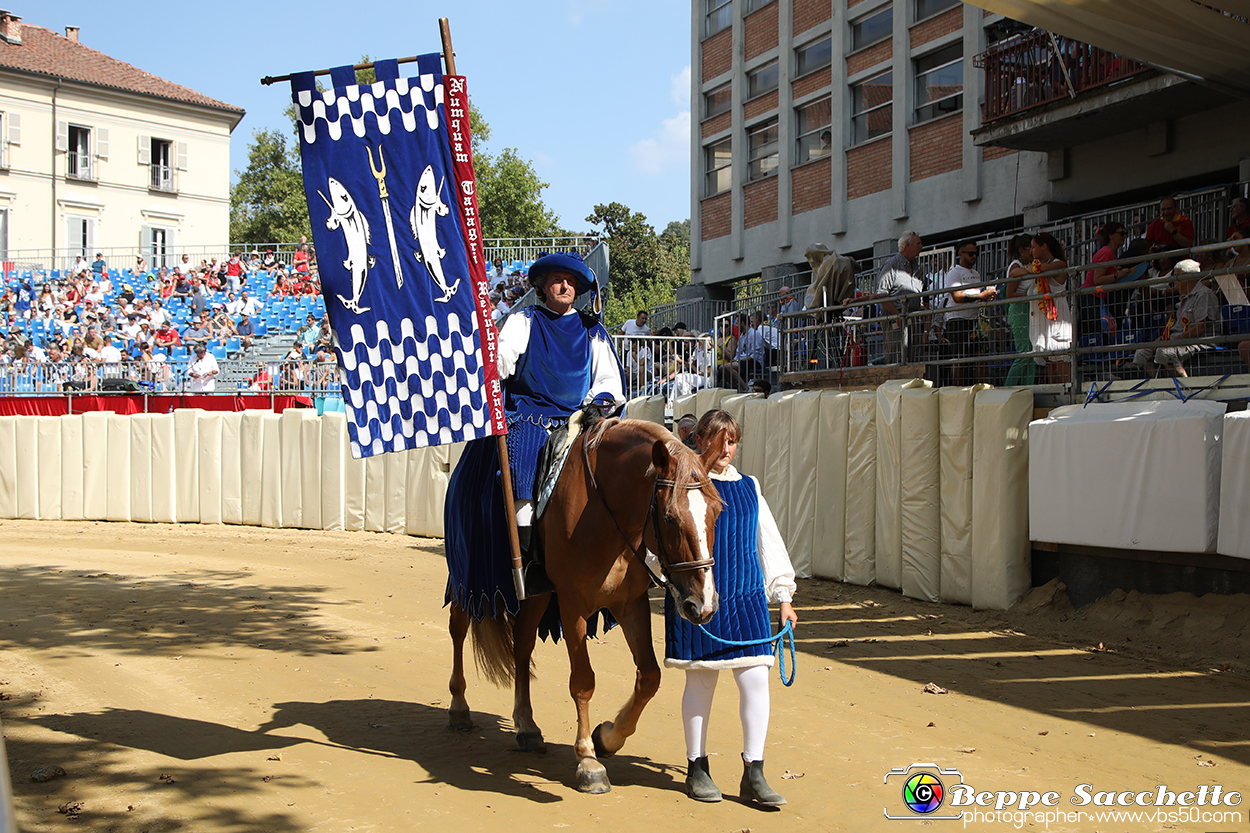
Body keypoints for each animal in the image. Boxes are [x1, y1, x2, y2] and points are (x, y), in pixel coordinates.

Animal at [450, 415, 725, 790]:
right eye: (669, 517)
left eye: (717, 512)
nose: (703, 604)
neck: (604, 511)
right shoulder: (573, 605)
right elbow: (583, 681)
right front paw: (588, 760)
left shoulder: (630, 603)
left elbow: (650, 676)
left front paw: (607, 737)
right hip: (465, 579)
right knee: (458, 629)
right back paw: (459, 706)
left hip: (538, 596)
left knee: (522, 644)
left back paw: (527, 725)